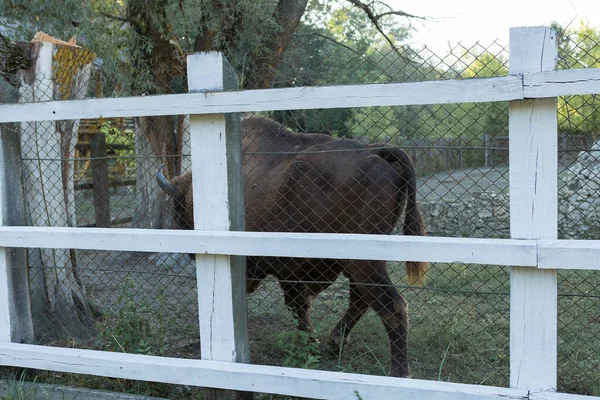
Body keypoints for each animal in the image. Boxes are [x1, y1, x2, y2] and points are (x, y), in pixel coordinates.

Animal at [156, 116, 426, 378]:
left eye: (178, 208)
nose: (190, 253)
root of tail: (375, 151)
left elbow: (296, 303)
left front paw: (309, 342)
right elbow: (298, 304)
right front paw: (310, 343)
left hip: (364, 261)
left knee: (391, 306)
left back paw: (399, 373)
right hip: (358, 262)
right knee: (361, 299)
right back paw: (334, 344)